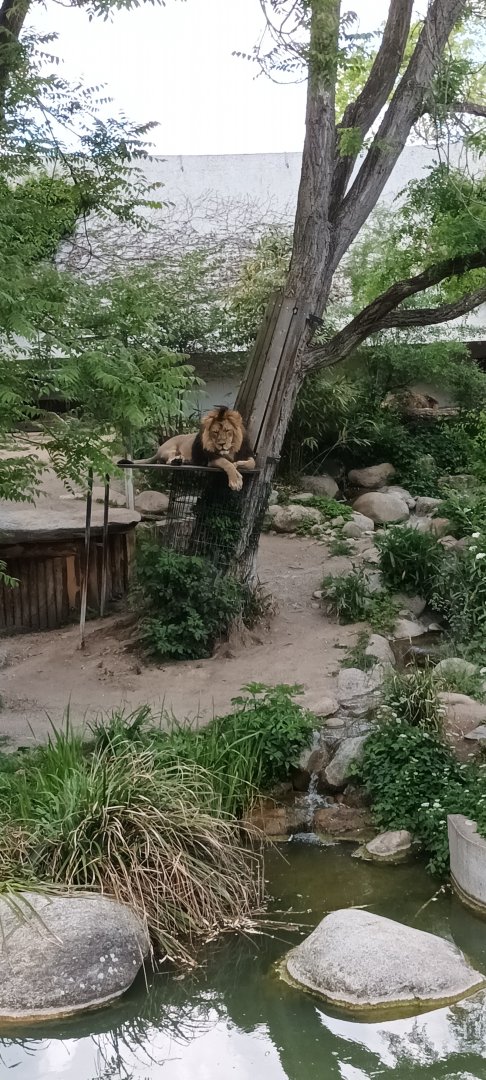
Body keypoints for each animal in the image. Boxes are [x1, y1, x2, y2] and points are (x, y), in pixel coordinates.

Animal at [119, 408, 255, 491]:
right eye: (215, 432)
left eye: (227, 431)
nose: (222, 444)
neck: (230, 449)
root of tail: (158, 450)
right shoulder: (211, 459)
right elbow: (227, 464)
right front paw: (236, 480)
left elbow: (252, 463)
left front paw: (239, 464)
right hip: (171, 448)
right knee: (167, 461)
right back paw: (177, 460)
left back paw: (183, 460)